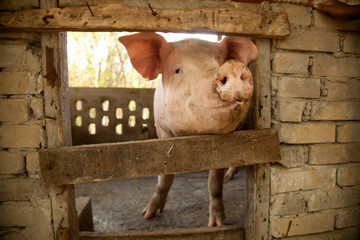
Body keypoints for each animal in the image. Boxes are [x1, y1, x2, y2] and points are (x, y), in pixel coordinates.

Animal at [119, 32, 258, 227]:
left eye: (220, 63)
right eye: (177, 70)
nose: (232, 67)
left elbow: (214, 182)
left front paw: (217, 224)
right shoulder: (162, 130)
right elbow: (164, 177)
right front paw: (147, 215)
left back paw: (228, 177)